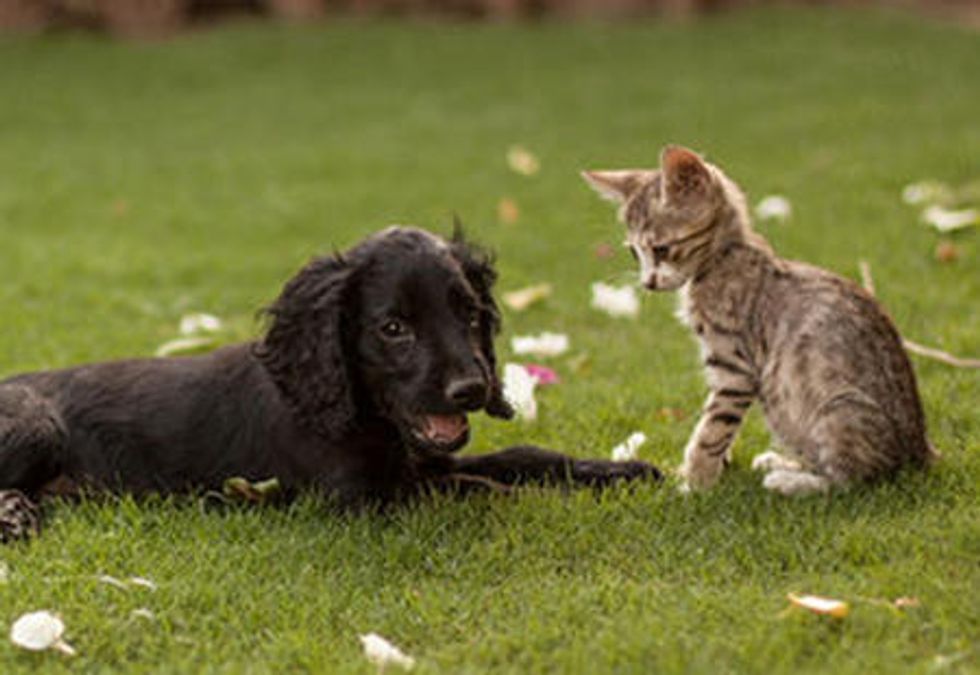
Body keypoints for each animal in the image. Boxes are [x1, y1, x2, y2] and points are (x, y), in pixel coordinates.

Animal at [1, 230, 660, 540]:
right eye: (394, 328)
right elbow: (482, 489)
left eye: (470, 314)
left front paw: (621, 472)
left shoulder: (428, 461)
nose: (472, 388)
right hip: (36, 421)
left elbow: (520, 458)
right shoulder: (363, 499)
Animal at [580, 147, 936, 496]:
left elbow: (711, 430)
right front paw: (705, 472)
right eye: (633, 252)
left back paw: (790, 480)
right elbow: (718, 428)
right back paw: (781, 462)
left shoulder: (734, 369)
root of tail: (922, 456)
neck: (722, 258)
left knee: (852, 480)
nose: (647, 283)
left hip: (838, 409)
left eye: (661, 248)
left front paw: (693, 483)